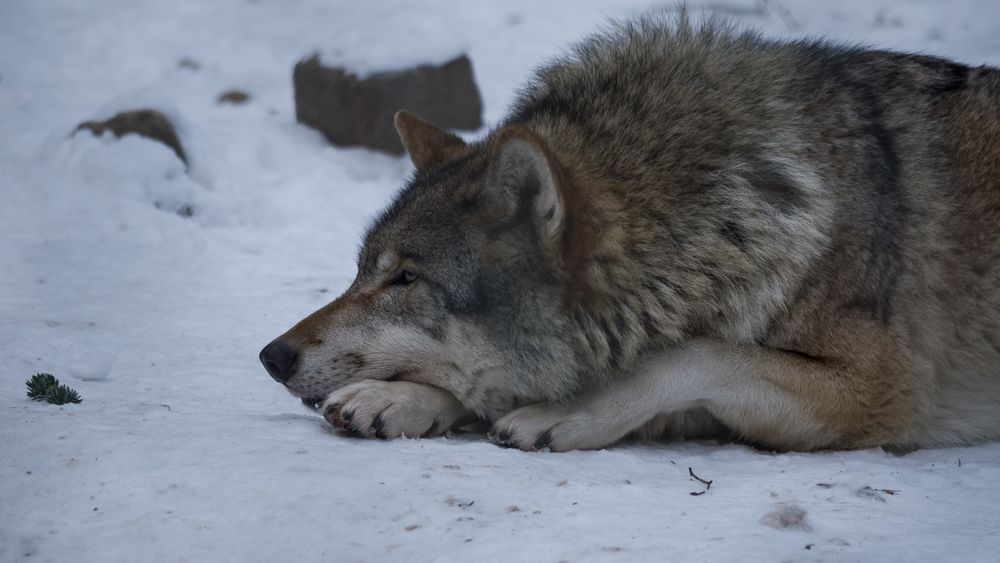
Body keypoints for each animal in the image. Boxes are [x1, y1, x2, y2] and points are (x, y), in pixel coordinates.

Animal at [262, 16, 1000, 454]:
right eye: (363, 270)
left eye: (406, 278)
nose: (271, 356)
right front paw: (397, 399)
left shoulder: (876, 392)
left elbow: (692, 356)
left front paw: (566, 413)